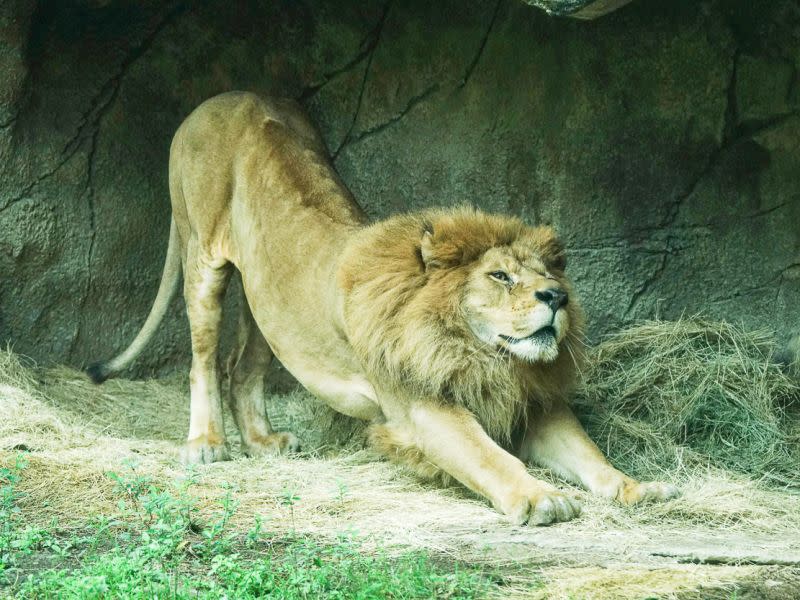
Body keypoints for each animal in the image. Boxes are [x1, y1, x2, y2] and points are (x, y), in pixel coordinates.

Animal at [90, 90, 680, 524]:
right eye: (500, 276)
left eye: (550, 275)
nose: (556, 298)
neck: (484, 356)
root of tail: (213, 99)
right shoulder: (423, 408)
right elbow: (489, 456)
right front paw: (538, 497)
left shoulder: (532, 403)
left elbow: (590, 454)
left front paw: (640, 488)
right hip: (202, 255)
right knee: (204, 360)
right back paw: (207, 445)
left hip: (267, 305)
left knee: (242, 367)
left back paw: (263, 441)